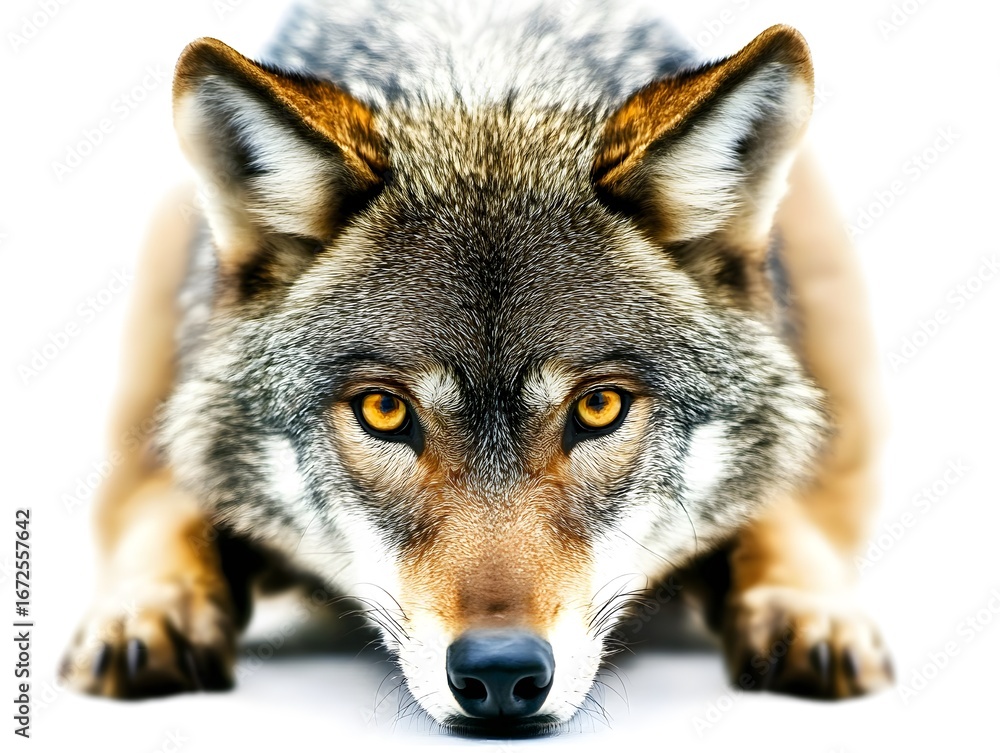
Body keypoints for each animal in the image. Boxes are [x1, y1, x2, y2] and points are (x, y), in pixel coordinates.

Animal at [63, 0, 892, 735]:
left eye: (598, 408)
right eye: (385, 412)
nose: (499, 672)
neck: (484, 66)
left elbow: (780, 513)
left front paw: (810, 610)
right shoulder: (162, 441)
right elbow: (164, 513)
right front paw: (145, 611)